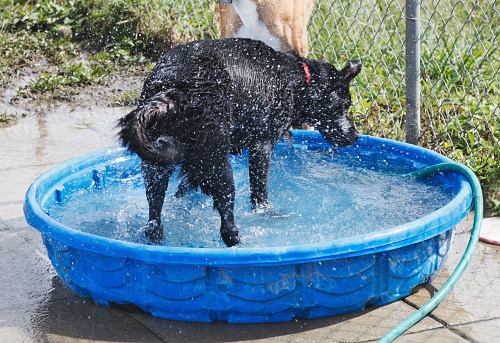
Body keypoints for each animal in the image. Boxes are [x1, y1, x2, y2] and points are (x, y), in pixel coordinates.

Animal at [119, 38, 362, 247]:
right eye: (345, 105)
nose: (355, 136)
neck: (297, 78)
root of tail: (176, 91)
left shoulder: (194, 162)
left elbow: (184, 186)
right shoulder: (261, 147)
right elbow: (260, 193)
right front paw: (266, 213)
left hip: (155, 167)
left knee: (154, 221)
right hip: (219, 165)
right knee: (227, 226)